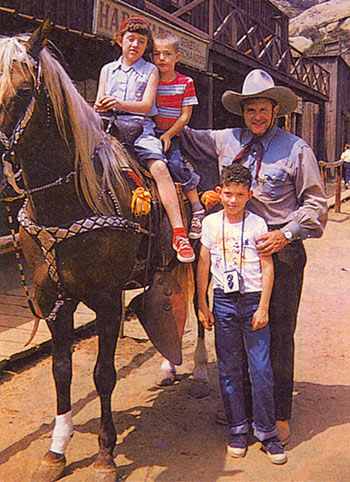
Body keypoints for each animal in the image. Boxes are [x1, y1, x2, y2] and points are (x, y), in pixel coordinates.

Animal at [0, 22, 200, 482]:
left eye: (23, 91)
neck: (68, 201)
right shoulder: (53, 300)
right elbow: (61, 371)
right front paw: (55, 451)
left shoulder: (107, 301)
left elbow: (103, 374)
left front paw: (106, 454)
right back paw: (169, 368)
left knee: (200, 312)